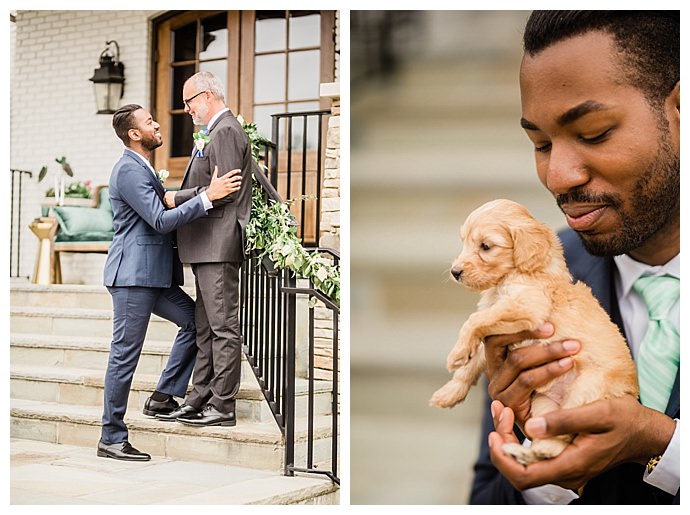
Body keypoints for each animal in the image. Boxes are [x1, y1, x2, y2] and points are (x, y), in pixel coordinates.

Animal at [428, 200, 636, 466]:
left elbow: (473, 321)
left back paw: (539, 450)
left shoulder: (528, 307)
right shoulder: (495, 331)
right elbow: (471, 365)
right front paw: (449, 392)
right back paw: (528, 452)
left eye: (486, 246)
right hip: (544, 404)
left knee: (565, 432)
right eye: (464, 242)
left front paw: (457, 353)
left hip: (586, 392)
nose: (455, 272)